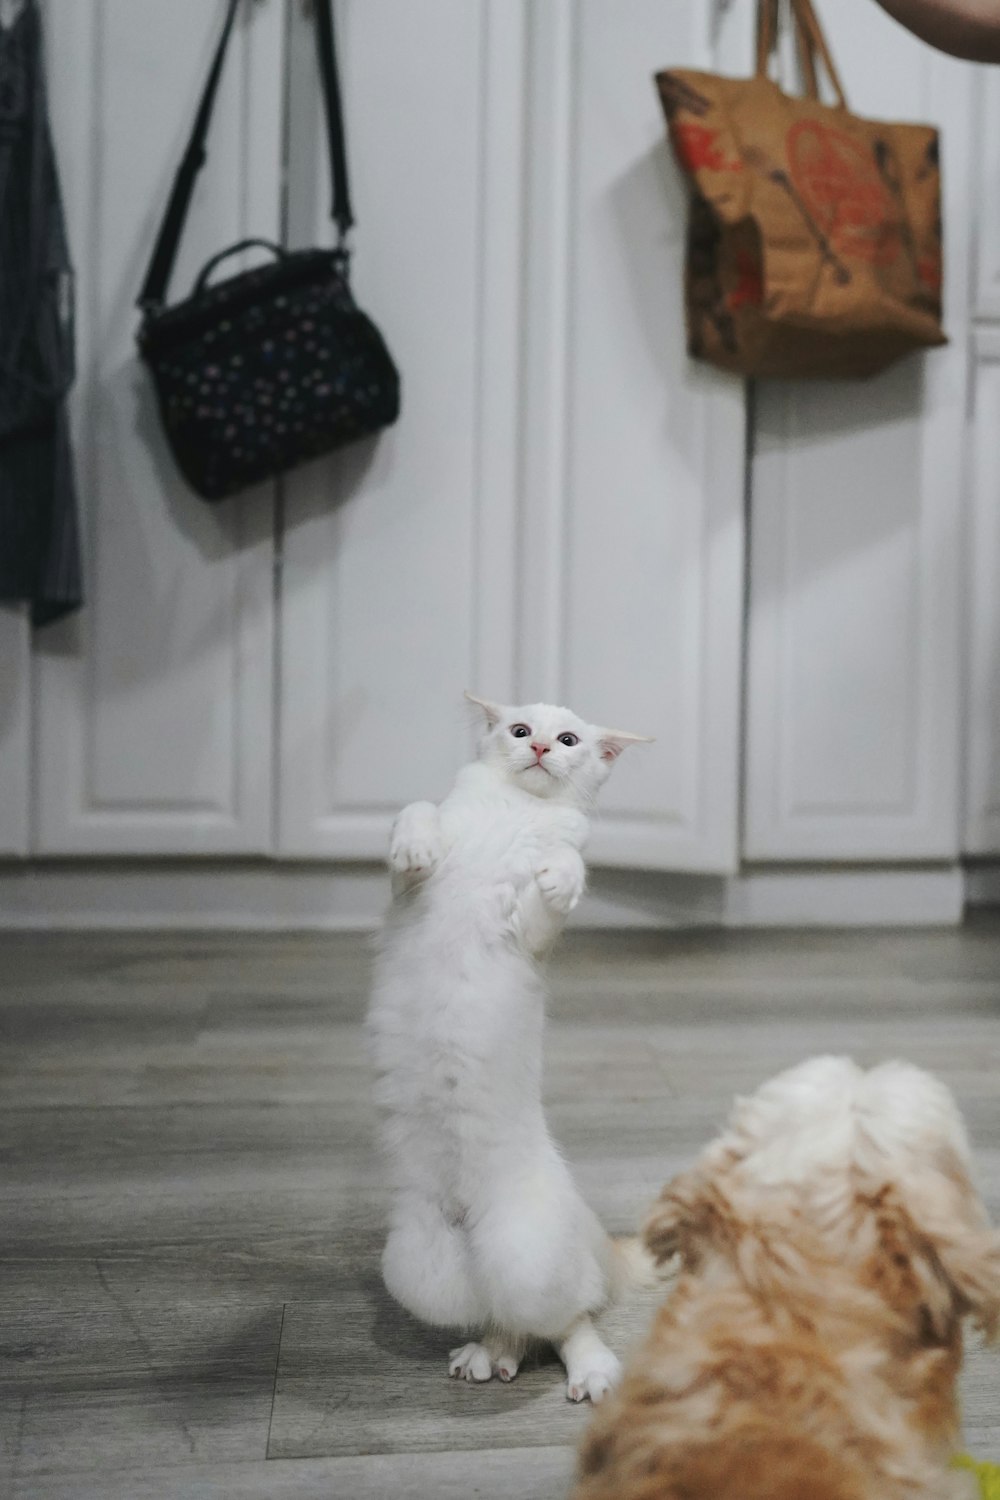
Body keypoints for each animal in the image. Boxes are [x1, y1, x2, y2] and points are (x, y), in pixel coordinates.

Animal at [365, 696, 650, 1398]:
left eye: (569, 739)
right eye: (521, 731)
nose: (541, 749)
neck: (517, 810)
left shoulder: (533, 936)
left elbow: (560, 879)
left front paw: (563, 877)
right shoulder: (404, 892)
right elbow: (416, 813)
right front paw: (415, 841)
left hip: (530, 1256)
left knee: (569, 1317)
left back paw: (592, 1372)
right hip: (416, 1267)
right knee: (507, 1319)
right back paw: (488, 1359)